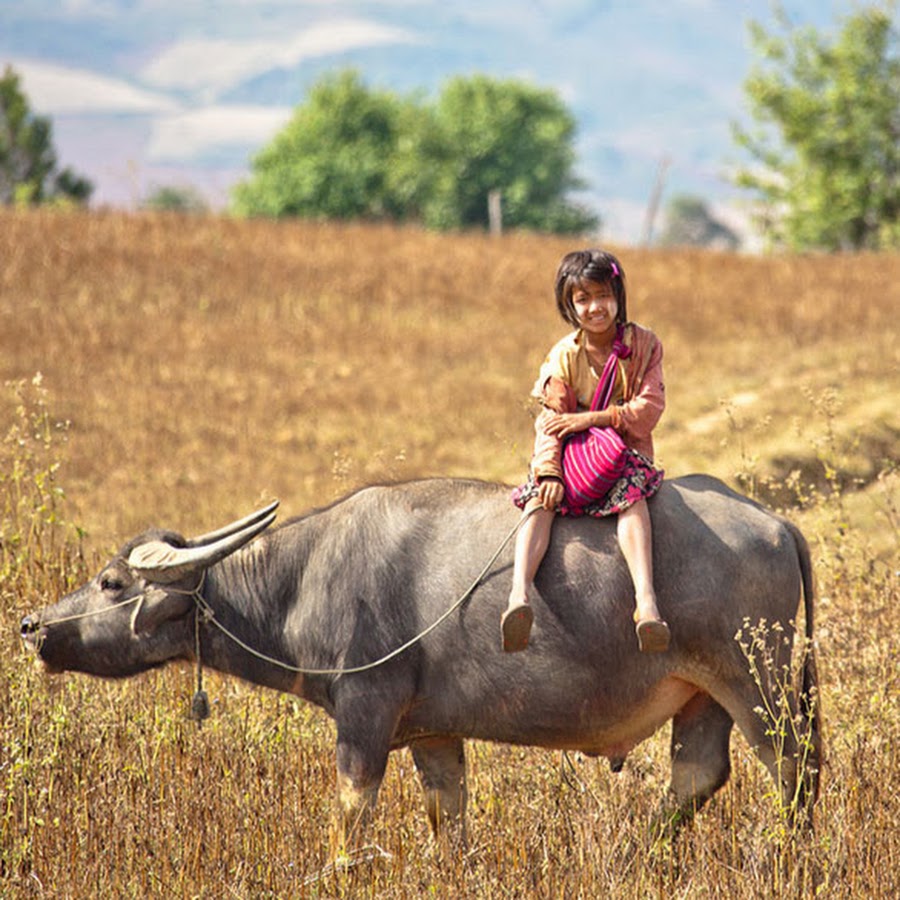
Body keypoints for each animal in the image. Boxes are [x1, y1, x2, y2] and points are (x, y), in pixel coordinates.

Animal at [21, 475, 820, 841]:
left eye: (112, 582)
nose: (31, 625)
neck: (308, 578)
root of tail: (777, 523)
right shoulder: (435, 735)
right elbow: (449, 823)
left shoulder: (366, 714)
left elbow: (350, 820)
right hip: (701, 696)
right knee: (697, 777)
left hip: (763, 687)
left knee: (795, 775)